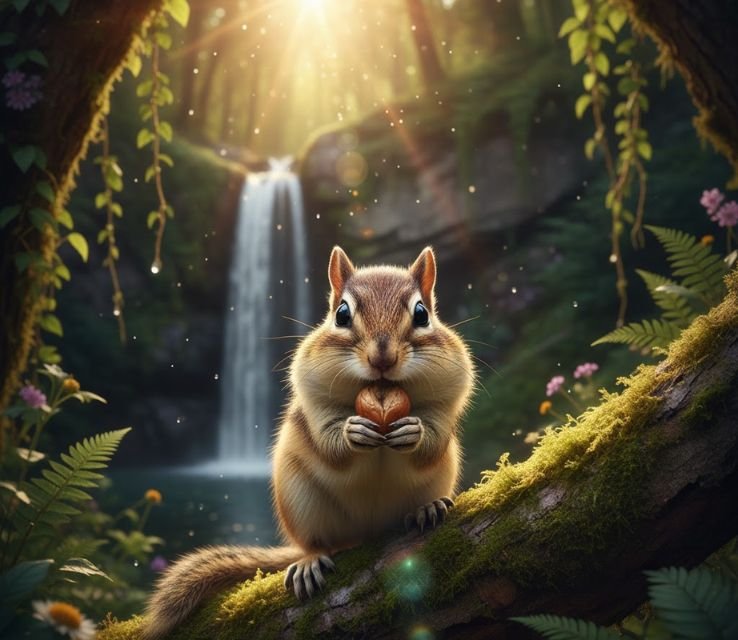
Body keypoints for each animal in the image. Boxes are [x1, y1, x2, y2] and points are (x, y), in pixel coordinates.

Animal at [143, 246, 475, 640]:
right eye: (342, 314)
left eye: (422, 314)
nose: (382, 359)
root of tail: (367, 533)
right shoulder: (312, 396)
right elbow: (329, 441)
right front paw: (351, 432)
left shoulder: (449, 393)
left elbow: (435, 437)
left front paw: (415, 431)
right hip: (302, 502)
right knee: (315, 542)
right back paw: (310, 561)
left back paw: (427, 508)